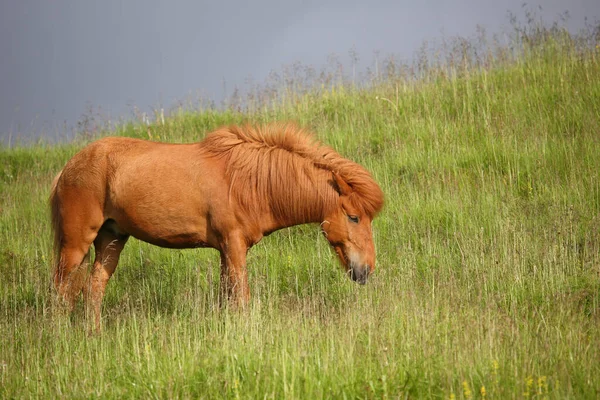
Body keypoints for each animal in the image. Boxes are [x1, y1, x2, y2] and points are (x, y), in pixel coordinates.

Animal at [50, 123, 384, 330]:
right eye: (354, 217)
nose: (366, 270)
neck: (248, 181)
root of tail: (67, 168)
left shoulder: (225, 251)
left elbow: (227, 298)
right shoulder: (234, 247)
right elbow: (241, 298)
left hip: (111, 240)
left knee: (93, 288)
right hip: (75, 244)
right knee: (61, 292)